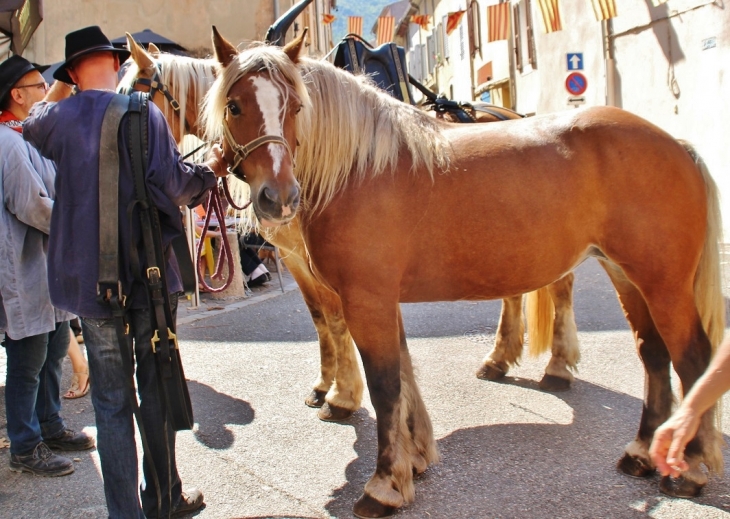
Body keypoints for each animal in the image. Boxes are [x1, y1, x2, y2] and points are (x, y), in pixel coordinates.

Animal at [119, 33, 584, 422]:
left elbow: (335, 320)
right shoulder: (297, 258)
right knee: (516, 290)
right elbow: (321, 320)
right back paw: (499, 358)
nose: (278, 197)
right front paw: (326, 385)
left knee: (559, 286)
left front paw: (342, 395)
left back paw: (557, 366)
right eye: (233, 106)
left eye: (135, 97)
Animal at [205, 30, 724, 516]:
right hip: (626, 275)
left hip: (664, 284)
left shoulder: (366, 300)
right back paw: (641, 451)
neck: (359, 167)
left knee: (694, 360)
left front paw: (384, 485)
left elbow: (386, 385)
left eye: (296, 106)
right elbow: (403, 375)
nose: (278, 198)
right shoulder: (379, 300)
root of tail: (676, 143)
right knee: (653, 353)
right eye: (234, 105)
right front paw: (413, 461)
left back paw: (689, 469)